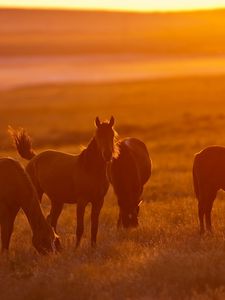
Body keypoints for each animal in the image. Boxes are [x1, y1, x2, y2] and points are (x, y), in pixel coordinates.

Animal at [9, 116, 118, 247]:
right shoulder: (81, 201)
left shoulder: (98, 202)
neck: (90, 170)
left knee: (51, 220)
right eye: (98, 135)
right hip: (38, 194)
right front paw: (76, 249)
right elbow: (80, 228)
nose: (107, 155)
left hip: (57, 201)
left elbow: (94, 227)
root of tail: (34, 158)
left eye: (112, 135)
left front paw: (93, 248)